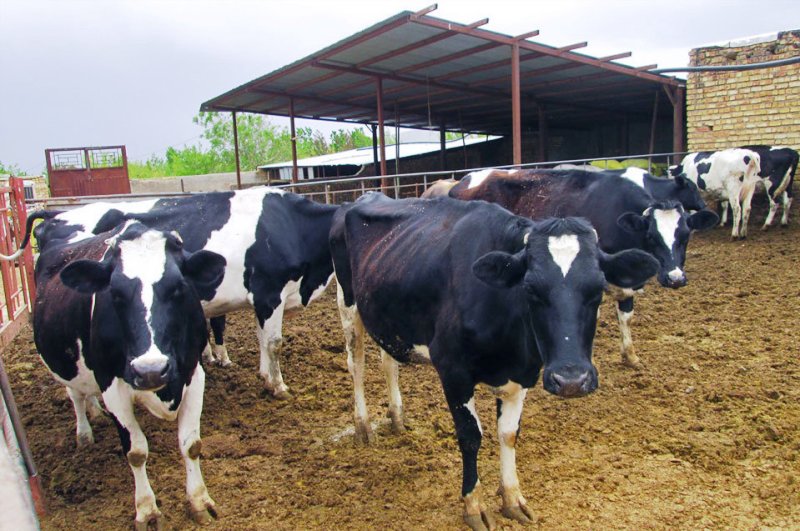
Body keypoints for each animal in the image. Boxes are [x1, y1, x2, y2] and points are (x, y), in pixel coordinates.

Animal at [0, 188, 338, 400]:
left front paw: (264, 376)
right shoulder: (269, 293)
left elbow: (261, 340)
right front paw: (278, 386)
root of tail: (57, 215)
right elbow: (273, 344)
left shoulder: (262, 300)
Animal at [33, 220, 227, 528]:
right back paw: (84, 433)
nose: (151, 370)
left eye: (179, 288)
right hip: (65, 363)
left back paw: (95, 411)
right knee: (75, 395)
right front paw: (147, 511)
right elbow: (136, 452)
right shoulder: (113, 388)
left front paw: (200, 501)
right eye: (114, 293)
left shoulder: (194, 375)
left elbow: (191, 445)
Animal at [328, 193, 660, 528]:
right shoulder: (453, 370)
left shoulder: (522, 373)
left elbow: (509, 434)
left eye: (598, 290)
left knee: (389, 361)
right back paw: (363, 426)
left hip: (387, 314)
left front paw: (513, 499)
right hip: (348, 302)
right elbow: (470, 435)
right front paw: (473, 505)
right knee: (356, 363)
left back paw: (397, 418)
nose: (571, 381)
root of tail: (368, 196)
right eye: (531, 289)